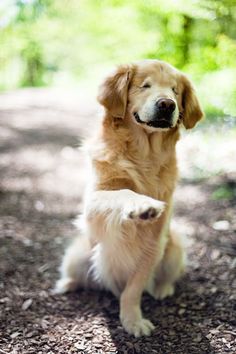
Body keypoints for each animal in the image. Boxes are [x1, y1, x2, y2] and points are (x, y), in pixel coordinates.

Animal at [54, 60, 203, 338]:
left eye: (175, 90)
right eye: (145, 85)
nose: (167, 104)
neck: (144, 154)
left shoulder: (154, 242)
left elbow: (133, 289)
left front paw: (132, 320)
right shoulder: (92, 205)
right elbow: (122, 193)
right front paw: (142, 205)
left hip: (175, 246)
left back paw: (163, 288)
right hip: (77, 254)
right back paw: (67, 284)